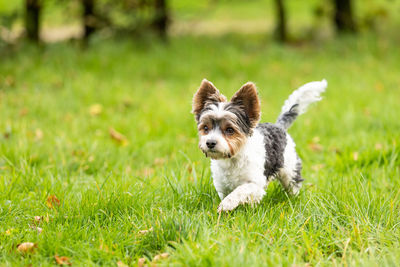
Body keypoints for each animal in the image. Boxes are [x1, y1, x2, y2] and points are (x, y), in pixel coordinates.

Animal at [192, 78, 326, 213]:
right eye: (205, 128)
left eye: (230, 130)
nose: (210, 142)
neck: (233, 159)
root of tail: (279, 126)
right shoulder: (222, 185)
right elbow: (228, 194)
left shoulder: (255, 183)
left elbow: (240, 190)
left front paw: (227, 204)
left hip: (290, 171)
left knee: (293, 186)